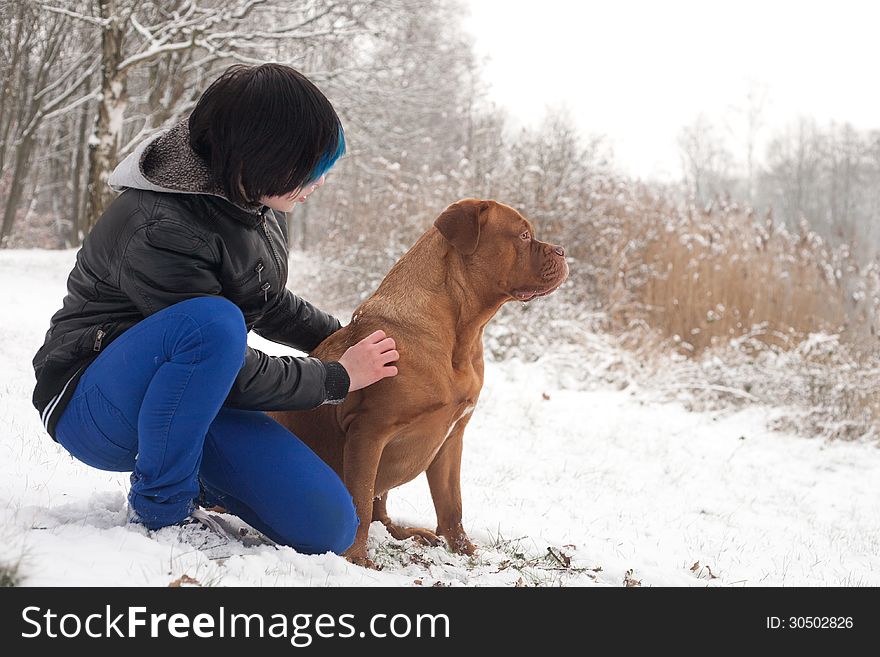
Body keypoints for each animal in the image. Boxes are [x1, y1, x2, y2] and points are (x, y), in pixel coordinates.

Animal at [270, 197, 572, 568]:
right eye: (523, 235)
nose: (562, 251)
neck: (460, 334)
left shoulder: (452, 437)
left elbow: (451, 505)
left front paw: (466, 552)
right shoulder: (369, 432)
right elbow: (359, 499)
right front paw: (357, 560)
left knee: (381, 512)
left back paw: (408, 533)